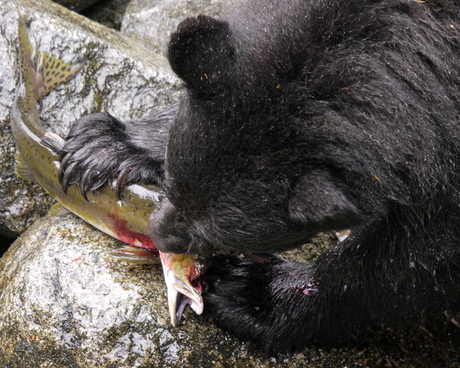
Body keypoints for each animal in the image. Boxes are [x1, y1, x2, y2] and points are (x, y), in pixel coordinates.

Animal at [61, 0, 460, 352]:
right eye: (172, 187)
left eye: (211, 232)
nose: (158, 233)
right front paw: (108, 147)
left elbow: (417, 256)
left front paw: (252, 294)